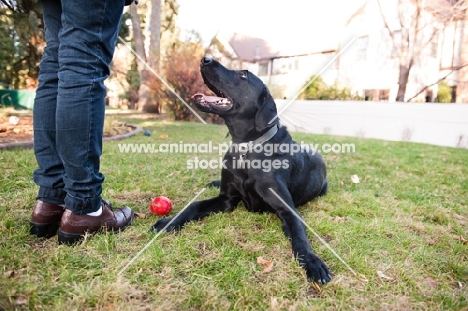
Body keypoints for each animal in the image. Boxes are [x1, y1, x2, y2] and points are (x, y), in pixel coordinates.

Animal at [152, 56, 330, 286]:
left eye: (243, 75)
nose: (205, 58)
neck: (246, 149)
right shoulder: (226, 199)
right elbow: (193, 205)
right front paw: (169, 222)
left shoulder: (287, 210)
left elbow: (300, 237)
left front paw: (312, 262)